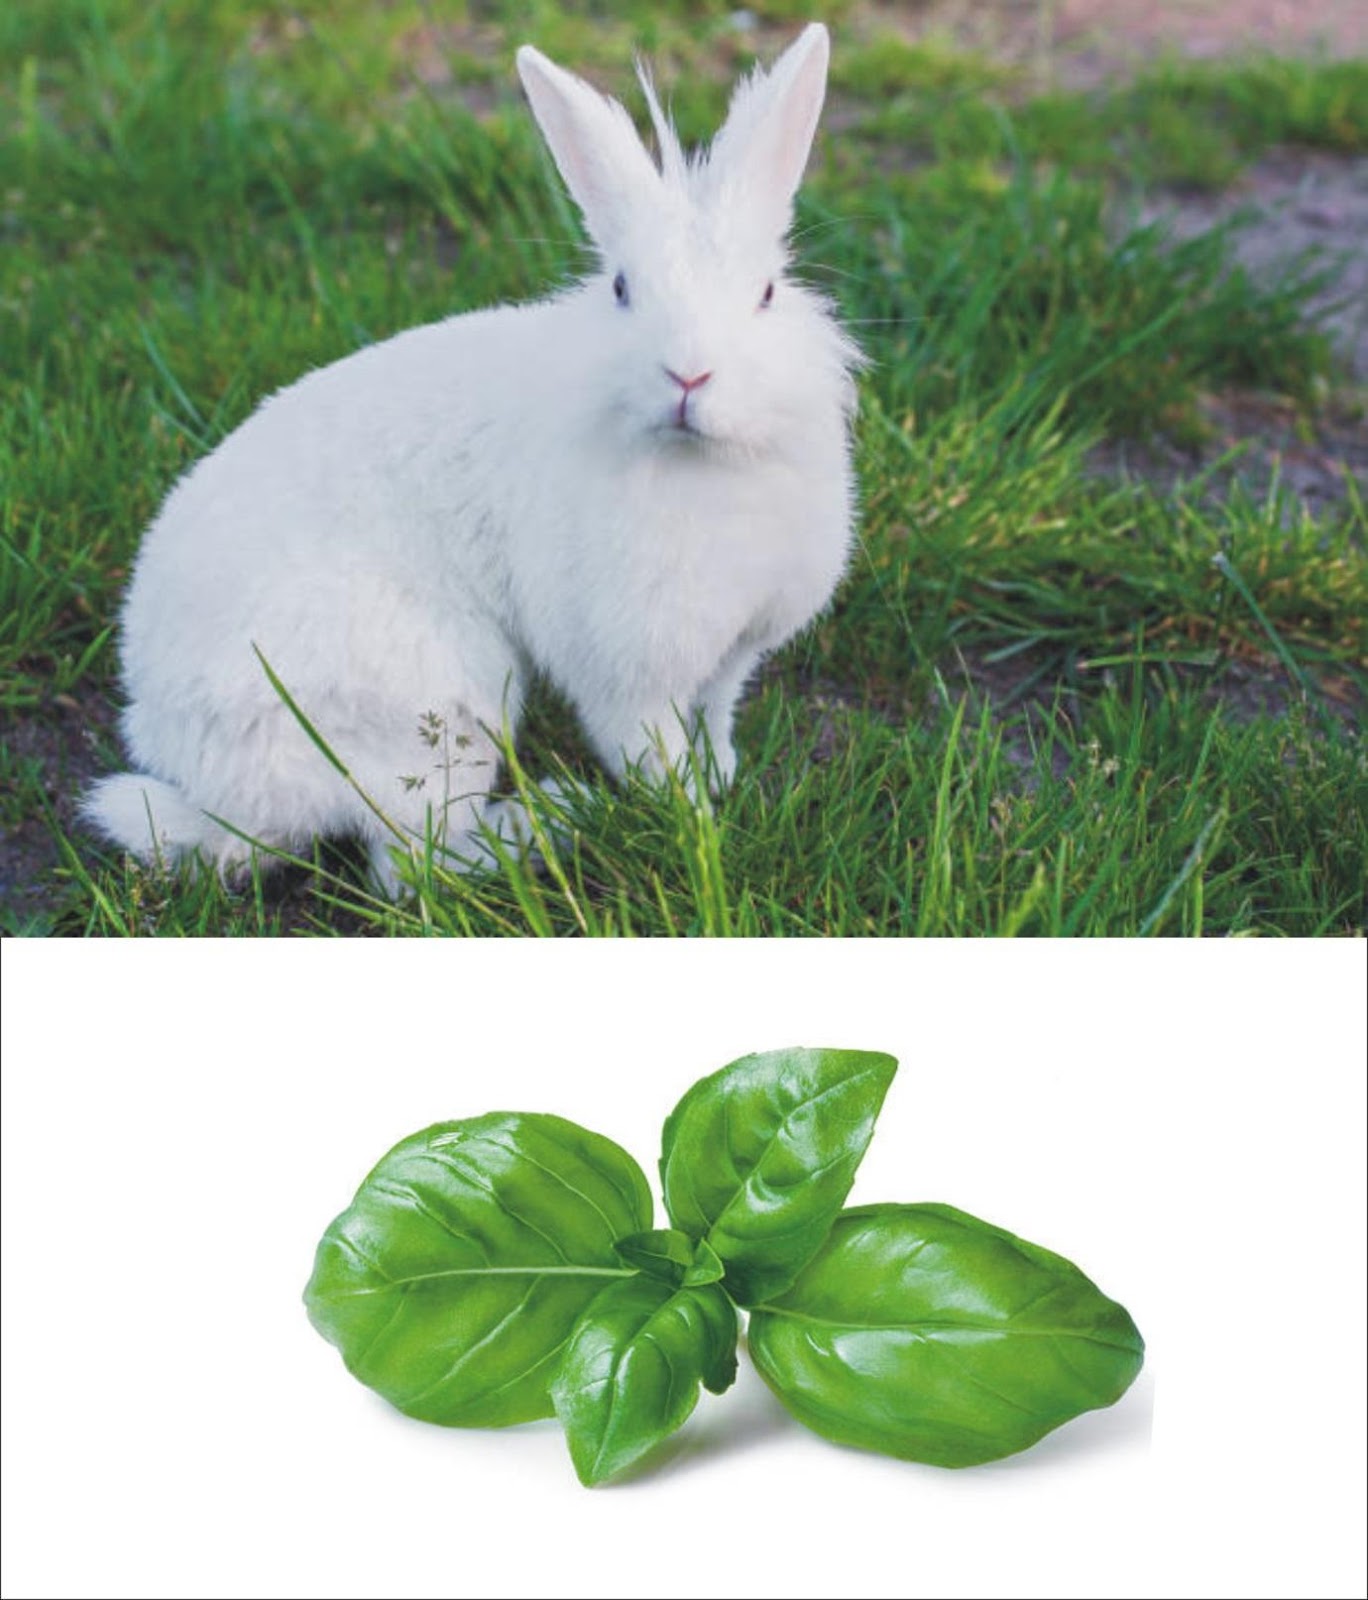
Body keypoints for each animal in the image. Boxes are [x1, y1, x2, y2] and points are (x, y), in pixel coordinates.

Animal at [83, 23, 861, 897]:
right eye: (622, 290)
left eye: (767, 293)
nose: (689, 375)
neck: (706, 462)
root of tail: (218, 790)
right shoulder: (624, 672)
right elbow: (648, 753)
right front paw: (697, 825)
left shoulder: (734, 652)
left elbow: (716, 714)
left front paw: (722, 776)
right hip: (438, 709)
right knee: (412, 868)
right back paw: (550, 823)